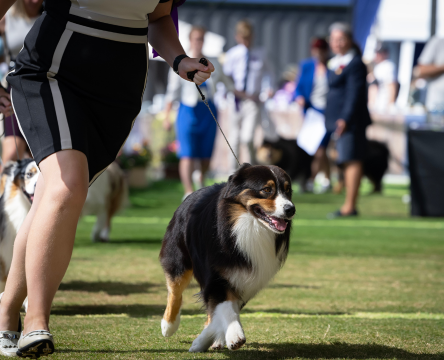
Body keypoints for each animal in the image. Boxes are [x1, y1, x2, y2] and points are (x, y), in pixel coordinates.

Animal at [160, 165, 294, 352]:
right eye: (267, 190)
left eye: (288, 191)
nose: (291, 209)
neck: (247, 226)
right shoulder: (217, 276)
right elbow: (225, 308)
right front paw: (234, 335)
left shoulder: (247, 280)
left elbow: (219, 312)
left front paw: (204, 340)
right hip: (178, 260)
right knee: (175, 291)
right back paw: (168, 325)